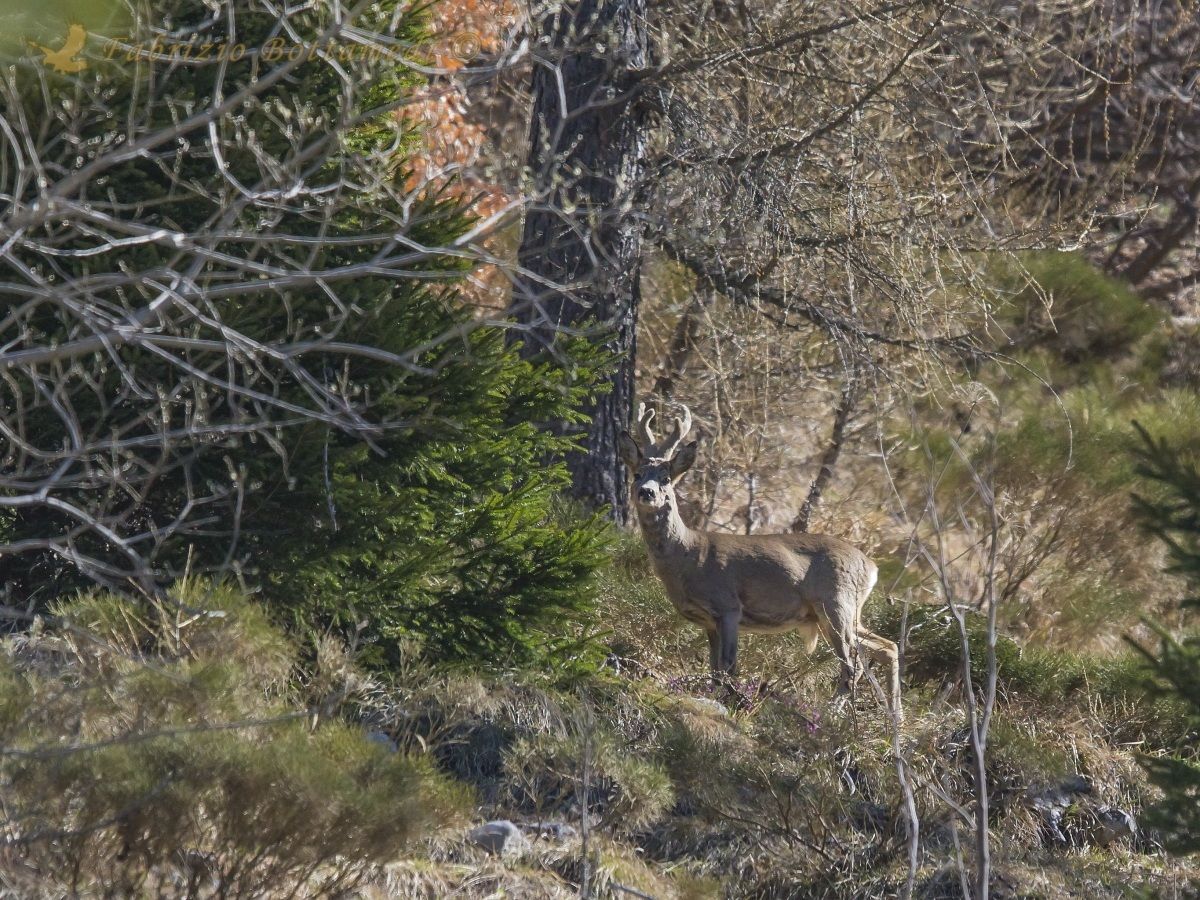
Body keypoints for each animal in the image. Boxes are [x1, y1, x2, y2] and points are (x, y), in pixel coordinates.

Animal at [619, 403, 902, 721]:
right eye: (637, 474)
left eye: (666, 478)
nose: (647, 492)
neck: (688, 555)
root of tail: (872, 567)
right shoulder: (708, 622)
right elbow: (714, 670)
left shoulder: (728, 606)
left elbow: (728, 668)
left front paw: (731, 705)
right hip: (846, 612)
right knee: (887, 647)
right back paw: (897, 719)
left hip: (836, 602)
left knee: (853, 664)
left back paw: (830, 714)